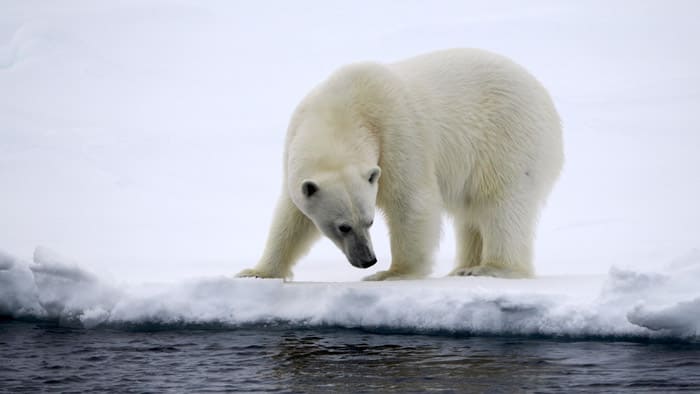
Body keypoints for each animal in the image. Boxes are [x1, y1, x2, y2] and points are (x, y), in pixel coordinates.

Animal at [239, 49, 564, 282]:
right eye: (343, 226)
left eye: (369, 221)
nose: (367, 259)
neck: (341, 110)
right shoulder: (296, 155)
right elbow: (292, 217)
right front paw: (257, 272)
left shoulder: (397, 132)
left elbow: (411, 200)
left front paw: (391, 273)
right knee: (470, 213)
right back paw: (462, 266)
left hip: (508, 140)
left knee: (501, 204)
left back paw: (489, 268)